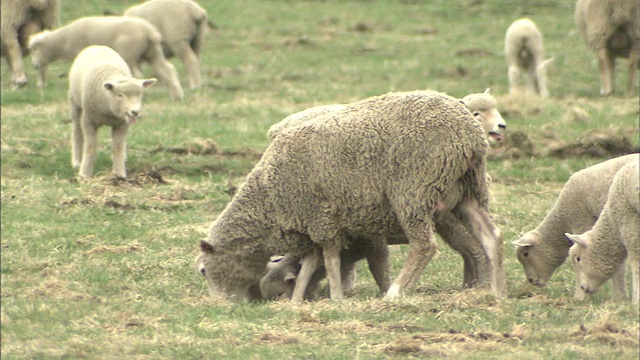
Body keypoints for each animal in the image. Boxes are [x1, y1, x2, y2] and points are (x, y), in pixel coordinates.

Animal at [28, 15, 184, 100]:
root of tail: (149, 32)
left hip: (129, 53)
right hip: (153, 52)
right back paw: (177, 96)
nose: (34, 65)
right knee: (168, 70)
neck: (63, 41)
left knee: (138, 75)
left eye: (35, 49)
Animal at [69, 45, 156, 179]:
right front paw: (84, 174)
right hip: (75, 102)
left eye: (140, 94)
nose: (135, 112)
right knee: (77, 129)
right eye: (120, 95)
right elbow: (90, 147)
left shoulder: (122, 124)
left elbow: (118, 148)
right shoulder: (89, 121)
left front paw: (119, 174)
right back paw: (77, 161)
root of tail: (97, 45)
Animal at [198, 88, 502, 302]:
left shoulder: (323, 220)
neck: (267, 197)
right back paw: (495, 290)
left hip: (414, 192)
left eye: (205, 270)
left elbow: (332, 261)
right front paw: (300, 300)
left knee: (425, 246)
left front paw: (336, 297)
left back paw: (396, 293)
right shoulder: (311, 226)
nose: (224, 305)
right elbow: (311, 265)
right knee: (490, 237)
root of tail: (468, 132)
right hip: (467, 191)